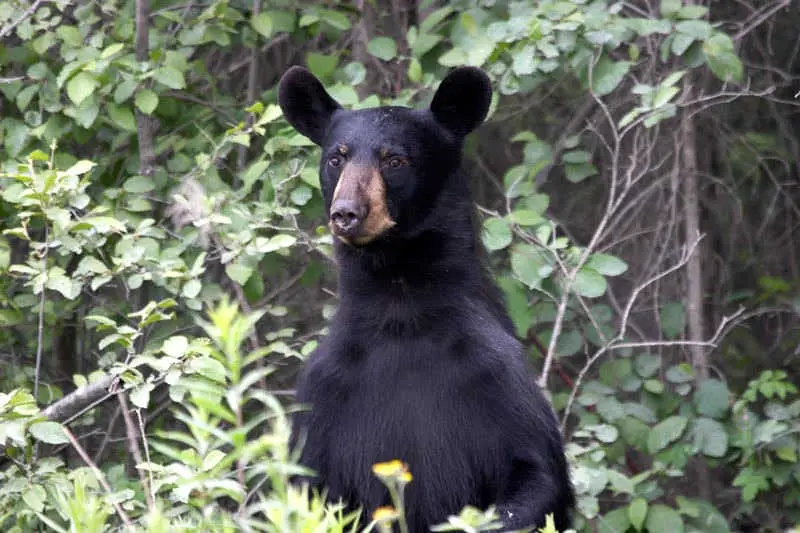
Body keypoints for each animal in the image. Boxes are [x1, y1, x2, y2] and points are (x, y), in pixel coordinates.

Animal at [278, 65, 574, 532]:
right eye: (336, 158)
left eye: (395, 160)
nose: (346, 213)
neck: (401, 306)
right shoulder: (324, 394)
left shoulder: (494, 374)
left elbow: (537, 475)